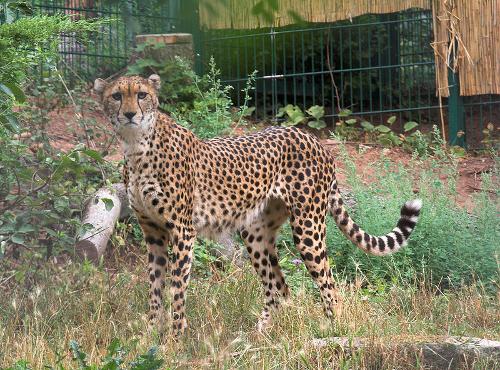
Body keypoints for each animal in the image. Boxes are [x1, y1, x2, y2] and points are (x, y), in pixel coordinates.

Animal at [94, 74, 422, 336]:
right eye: (116, 96)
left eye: (141, 94)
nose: (129, 114)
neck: (137, 146)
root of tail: (310, 137)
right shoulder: (153, 232)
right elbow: (154, 287)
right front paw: (149, 334)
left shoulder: (182, 231)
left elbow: (176, 289)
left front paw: (175, 339)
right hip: (255, 232)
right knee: (280, 289)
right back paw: (261, 335)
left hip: (308, 228)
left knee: (329, 286)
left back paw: (332, 330)